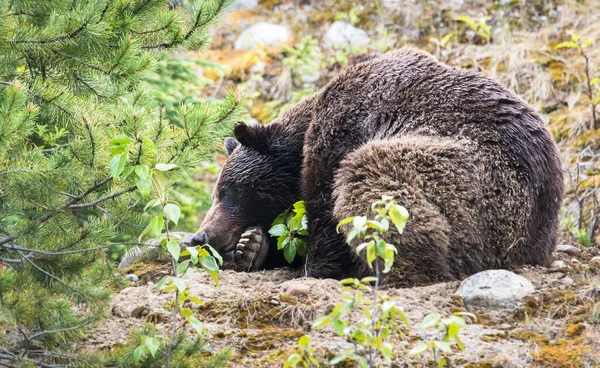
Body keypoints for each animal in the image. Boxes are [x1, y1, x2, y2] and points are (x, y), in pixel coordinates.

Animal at [190, 47, 564, 286]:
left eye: (225, 191)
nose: (199, 235)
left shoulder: (340, 132)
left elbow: (327, 213)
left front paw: (312, 270)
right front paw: (253, 247)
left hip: (482, 186)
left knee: (373, 177)